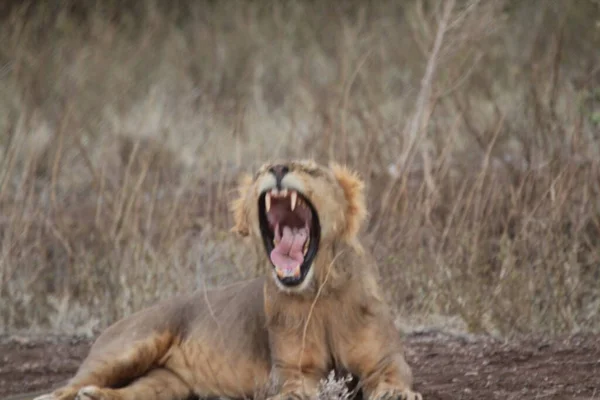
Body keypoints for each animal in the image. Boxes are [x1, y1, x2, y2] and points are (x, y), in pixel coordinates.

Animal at [31, 159, 422, 400]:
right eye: (264, 167)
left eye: (311, 169)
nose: (278, 168)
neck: (319, 290)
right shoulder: (294, 367)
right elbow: (294, 385)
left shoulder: (384, 360)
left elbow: (393, 375)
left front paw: (397, 393)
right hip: (130, 347)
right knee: (66, 386)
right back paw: (66, 394)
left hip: (168, 385)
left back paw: (94, 397)